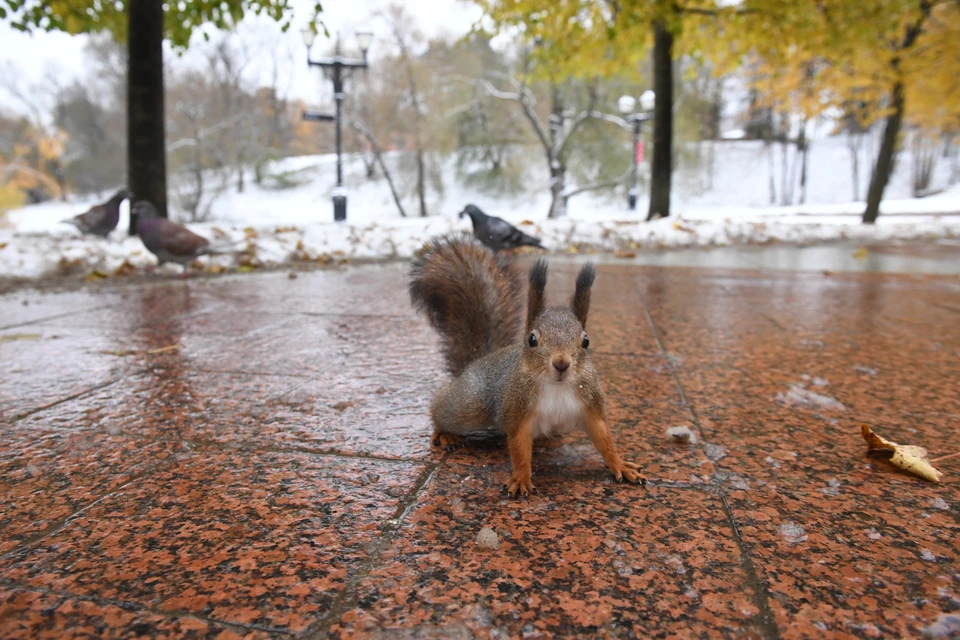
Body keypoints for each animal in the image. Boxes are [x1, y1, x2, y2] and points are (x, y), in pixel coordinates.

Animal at [408, 232, 640, 498]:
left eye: (586, 341)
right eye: (532, 339)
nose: (561, 363)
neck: (557, 386)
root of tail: (478, 360)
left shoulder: (591, 405)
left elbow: (604, 439)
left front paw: (620, 465)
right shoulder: (517, 409)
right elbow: (518, 448)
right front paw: (520, 477)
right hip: (468, 405)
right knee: (443, 407)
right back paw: (443, 432)